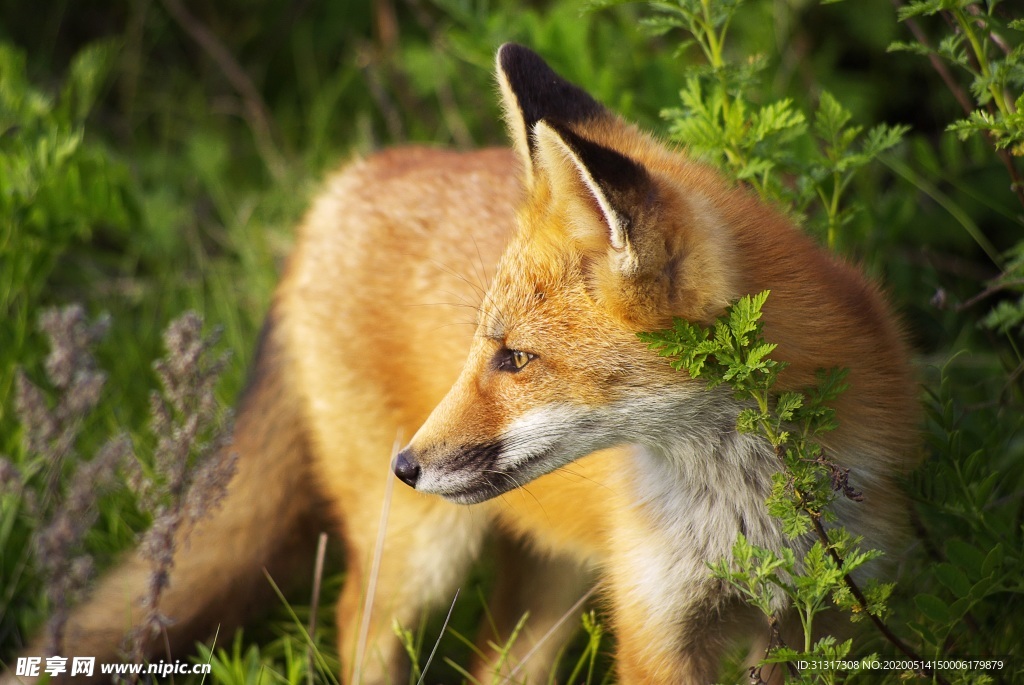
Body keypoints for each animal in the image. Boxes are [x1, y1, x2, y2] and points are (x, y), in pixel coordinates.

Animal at [6, 45, 921, 679]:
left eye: (516, 357)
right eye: (485, 348)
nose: (406, 463)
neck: (741, 506)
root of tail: (347, 179)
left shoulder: (830, 616)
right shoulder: (658, 628)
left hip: (544, 583)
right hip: (420, 553)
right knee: (355, 624)